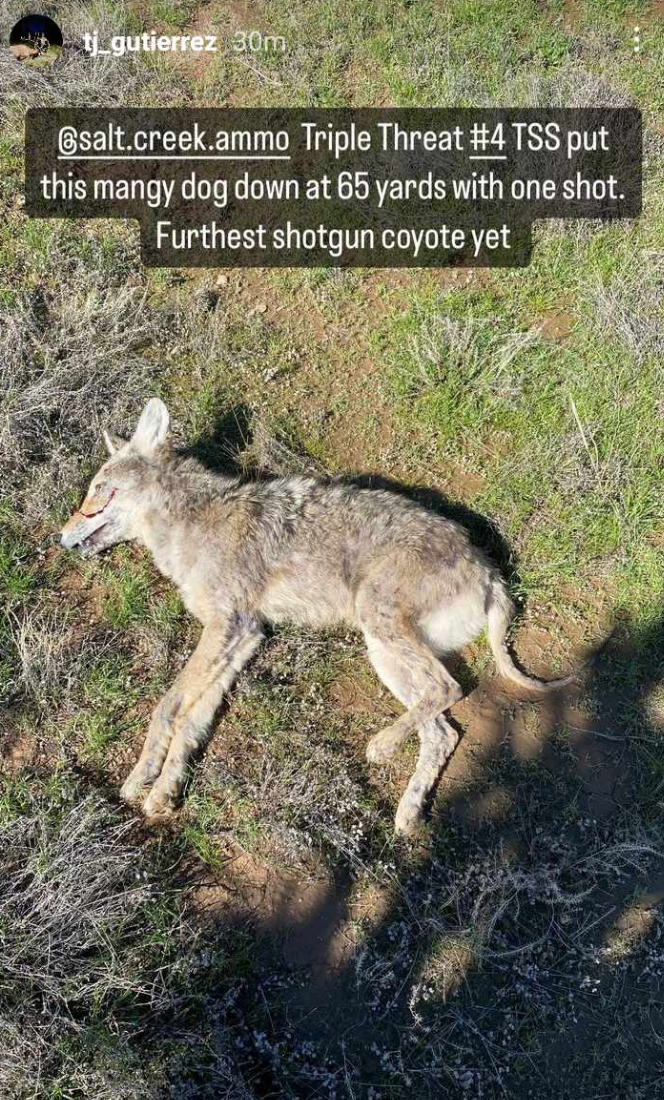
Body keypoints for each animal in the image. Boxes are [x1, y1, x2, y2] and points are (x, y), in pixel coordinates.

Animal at [61, 399, 571, 835]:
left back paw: (381, 748)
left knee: (451, 690)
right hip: (384, 653)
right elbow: (191, 719)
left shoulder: (226, 626)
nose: (60, 536)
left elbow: (168, 706)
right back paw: (408, 817)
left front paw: (140, 778)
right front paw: (164, 790)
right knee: (443, 732)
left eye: (98, 491)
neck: (190, 522)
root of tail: (489, 570)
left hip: (380, 628)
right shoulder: (245, 634)